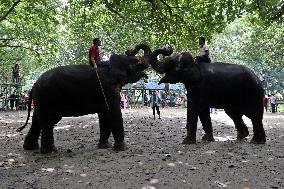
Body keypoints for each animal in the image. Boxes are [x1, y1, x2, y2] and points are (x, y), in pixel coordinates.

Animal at [16, 44, 151, 154]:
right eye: (135, 62)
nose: (129, 50)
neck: (111, 65)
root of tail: (34, 86)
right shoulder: (108, 90)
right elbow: (114, 113)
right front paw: (122, 148)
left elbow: (104, 116)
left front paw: (104, 146)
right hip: (48, 98)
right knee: (48, 122)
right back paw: (50, 151)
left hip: (40, 100)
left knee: (37, 121)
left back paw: (30, 148)